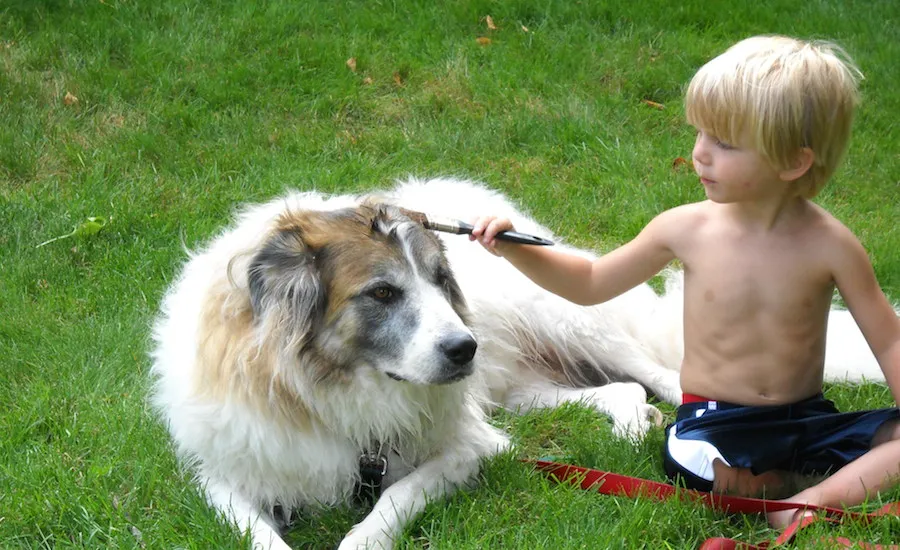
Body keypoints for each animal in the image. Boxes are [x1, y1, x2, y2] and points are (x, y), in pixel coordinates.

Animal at [151, 177, 884, 550]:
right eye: (382, 293)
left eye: (438, 280)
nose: (462, 348)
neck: (333, 388)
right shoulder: (223, 472)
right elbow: (257, 531)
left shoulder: (468, 448)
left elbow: (390, 499)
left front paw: (363, 536)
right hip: (518, 386)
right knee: (619, 391)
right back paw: (629, 425)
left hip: (570, 317)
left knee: (662, 377)